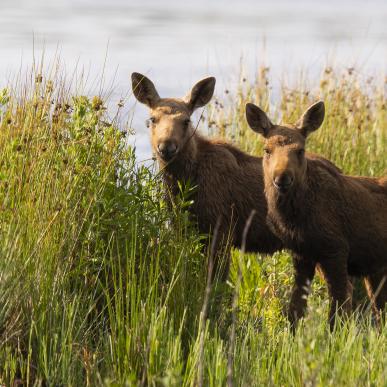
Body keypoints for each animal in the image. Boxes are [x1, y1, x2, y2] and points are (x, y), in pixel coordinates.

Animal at [247, 101, 386, 328]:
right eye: (267, 150)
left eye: (300, 150)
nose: (282, 177)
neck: (293, 219)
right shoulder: (301, 253)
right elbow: (296, 308)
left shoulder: (336, 249)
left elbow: (338, 309)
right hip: (375, 271)